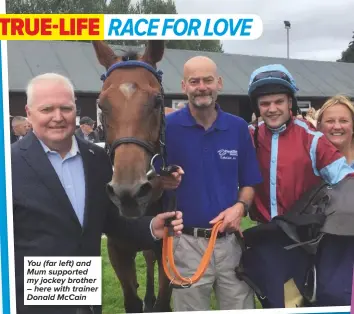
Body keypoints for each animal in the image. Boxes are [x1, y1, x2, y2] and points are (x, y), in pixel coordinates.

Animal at [91, 40, 174, 312]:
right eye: (102, 105)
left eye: (157, 101)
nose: (127, 193)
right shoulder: (117, 249)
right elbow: (131, 300)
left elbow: (163, 301)